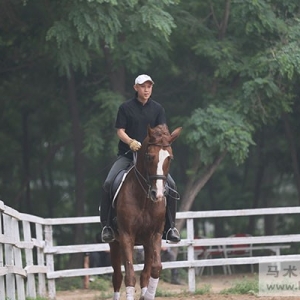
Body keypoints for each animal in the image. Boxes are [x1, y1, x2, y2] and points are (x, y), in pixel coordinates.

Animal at [109, 124, 182, 300]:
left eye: (170, 158)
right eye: (149, 156)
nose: (158, 194)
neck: (143, 199)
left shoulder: (154, 235)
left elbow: (155, 268)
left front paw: (148, 295)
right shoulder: (126, 235)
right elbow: (129, 275)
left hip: (145, 242)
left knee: (145, 273)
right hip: (114, 242)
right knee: (117, 276)